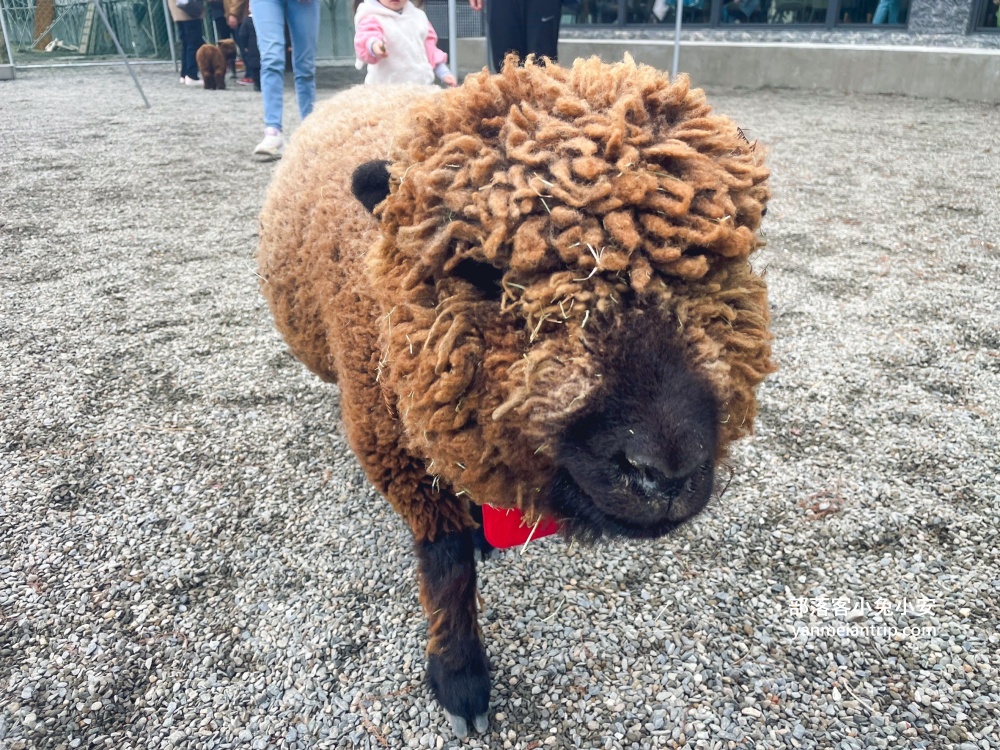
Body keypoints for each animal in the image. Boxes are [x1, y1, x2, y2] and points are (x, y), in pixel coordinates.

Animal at [258, 55, 772, 736]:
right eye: (483, 273)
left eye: (715, 263)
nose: (663, 473)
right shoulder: (392, 443)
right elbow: (446, 563)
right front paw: (460, 677)